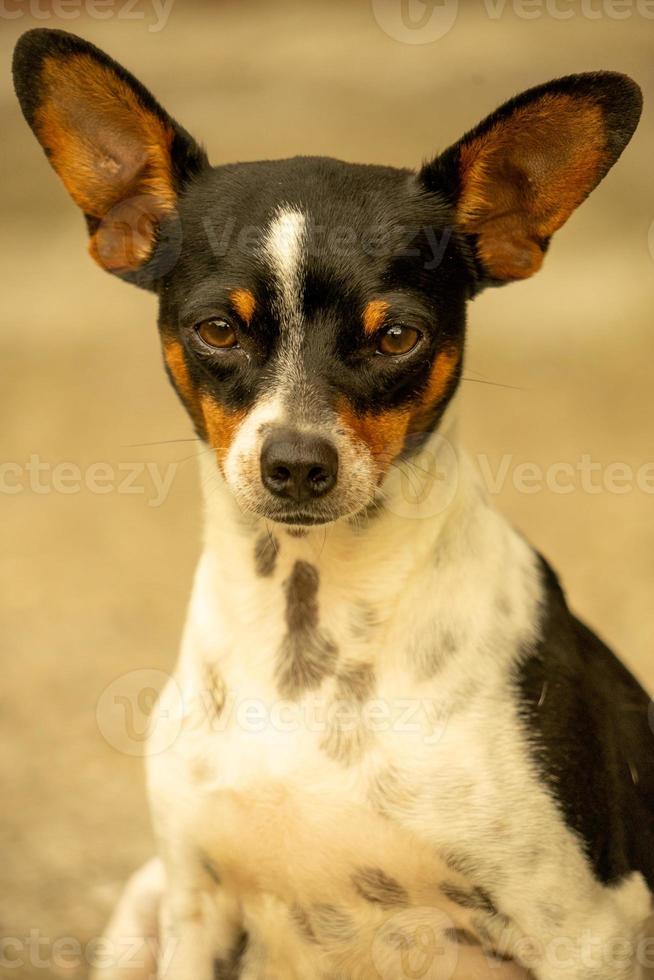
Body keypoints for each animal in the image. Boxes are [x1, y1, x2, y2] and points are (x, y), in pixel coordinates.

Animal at [12, 26, 652, 976]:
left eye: (398, 337)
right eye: (217, 330)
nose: (297, 464)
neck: (308, 634)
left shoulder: (587, 928)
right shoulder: (195, 906)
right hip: (142, 906)